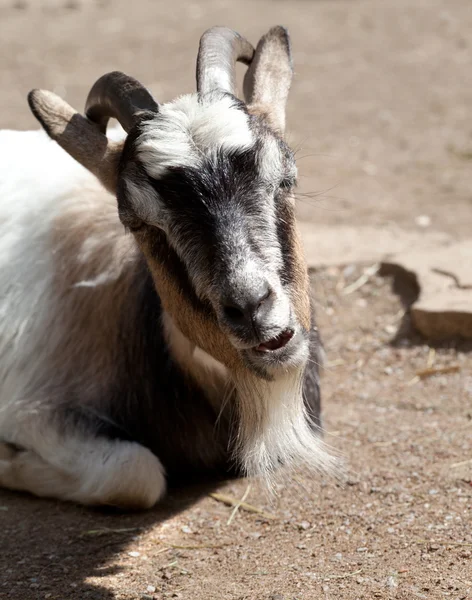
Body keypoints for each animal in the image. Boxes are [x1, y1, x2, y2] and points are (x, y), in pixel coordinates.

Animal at [0, 25, 336, 508]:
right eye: (137, 221)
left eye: (286, 179)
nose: (251, 308)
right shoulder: (35, 410)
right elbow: (135, 473)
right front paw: (9, 462)